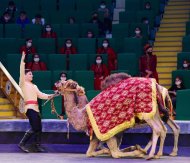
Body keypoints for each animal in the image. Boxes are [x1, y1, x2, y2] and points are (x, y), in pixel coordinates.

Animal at [52, 73, 180, 159]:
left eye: (64, 83)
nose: (56, 82)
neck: (83, 115)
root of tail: (159, 87)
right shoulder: (101, 135)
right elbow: (90, 152)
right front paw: (135, 148)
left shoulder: (107, 132)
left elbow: (115, 153)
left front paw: (138, 151)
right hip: (157, 112)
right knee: (168, 128)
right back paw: (163, 153)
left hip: (147, 113)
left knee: (158, 129)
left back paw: (150, 154)